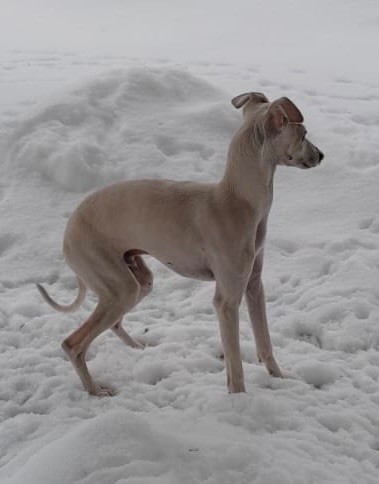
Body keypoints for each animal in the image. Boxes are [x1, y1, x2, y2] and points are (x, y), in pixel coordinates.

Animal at [37, 91, 326, 398]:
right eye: (304, 134)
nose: (321, 155)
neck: (237, 201)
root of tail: (68, 230)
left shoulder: (253, 286)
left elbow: (265, 343)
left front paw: (281, 379)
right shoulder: (226, 300)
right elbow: (235, 364)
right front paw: (239, 401)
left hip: (137, 280)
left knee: (114, 322)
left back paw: (138, 348)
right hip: (118, 288)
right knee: (73, 344)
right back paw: (95, 390)